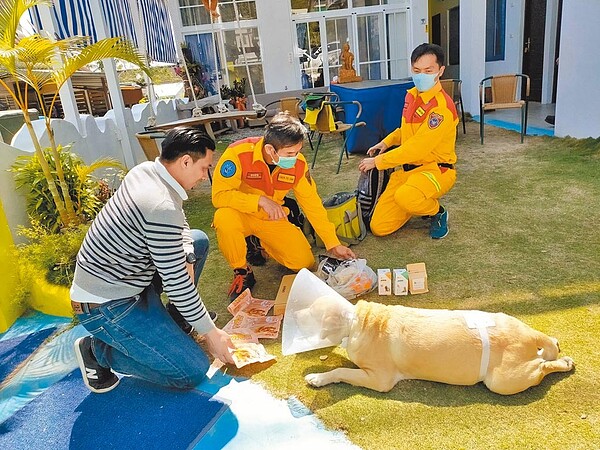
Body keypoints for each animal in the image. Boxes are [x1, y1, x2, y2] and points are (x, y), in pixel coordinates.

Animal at [308, 298, 576, 394]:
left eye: (311, 313)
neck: (357, 321)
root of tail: (529, 340)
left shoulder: (379, 379)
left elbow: (342, 370)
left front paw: (318, 378)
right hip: (509, 321)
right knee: (547, 346)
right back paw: (554, 346)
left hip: (502, 381)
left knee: (542, 367)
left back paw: (564, 363)